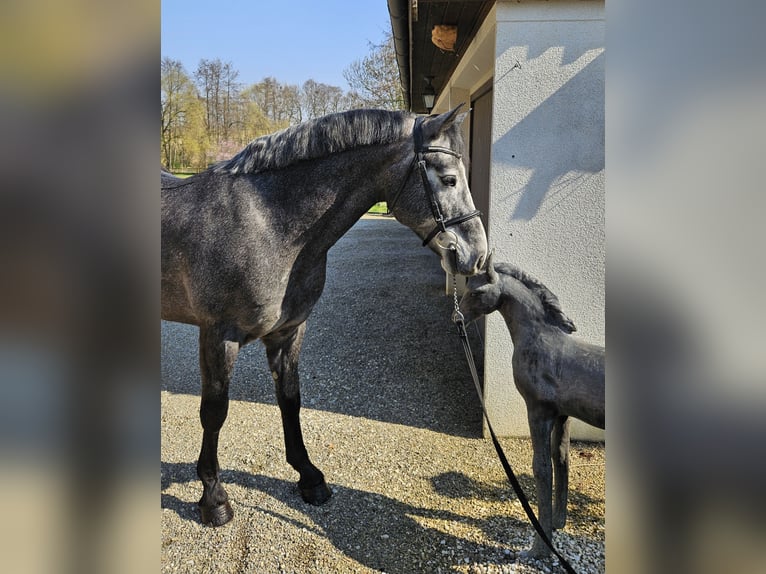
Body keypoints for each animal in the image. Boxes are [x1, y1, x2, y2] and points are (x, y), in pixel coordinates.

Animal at [162, 107, 488, 526]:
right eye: (449, 179)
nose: (478, 255)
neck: (267, 224)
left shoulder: (289, 332)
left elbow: (290, 399)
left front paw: (309, 476)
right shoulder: (218, 336)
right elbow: (214, 412)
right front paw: (213, 497)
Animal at [457, 252, 604, 558]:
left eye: (476, 291)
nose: (457, 319)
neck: (541, 341)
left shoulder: (538, 411)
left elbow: (541, 468)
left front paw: (539, 548)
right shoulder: (563, 415)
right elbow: (561, 460)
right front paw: (558, 524)